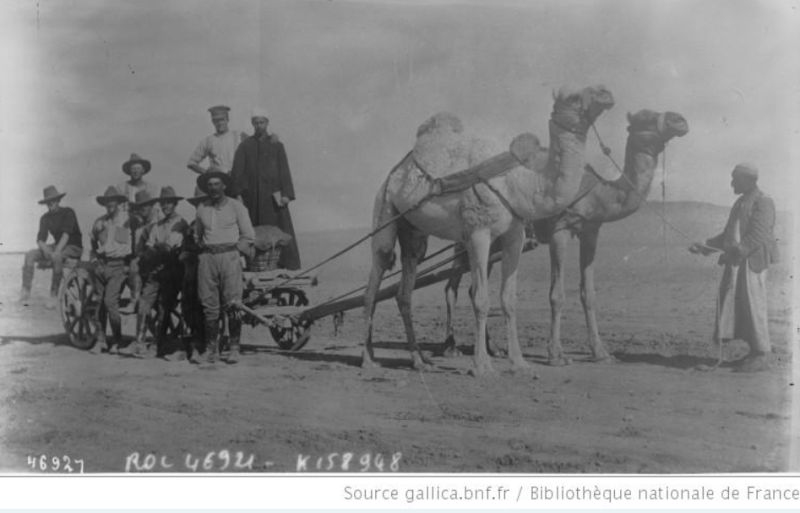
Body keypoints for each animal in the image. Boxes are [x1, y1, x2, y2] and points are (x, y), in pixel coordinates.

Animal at [360, 85, 616, 376]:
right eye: (572, 96)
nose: (606, 93)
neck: (519, 184)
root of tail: (392, 175)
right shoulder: (478, 232)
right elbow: (481, 298)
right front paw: (482, 366)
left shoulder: (515, 235)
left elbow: (509, 299)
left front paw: (519, 362)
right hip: (384, 209)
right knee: (375, 277)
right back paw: (368, 359)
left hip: (413, 230)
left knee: (405, 290)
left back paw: (419, 360)